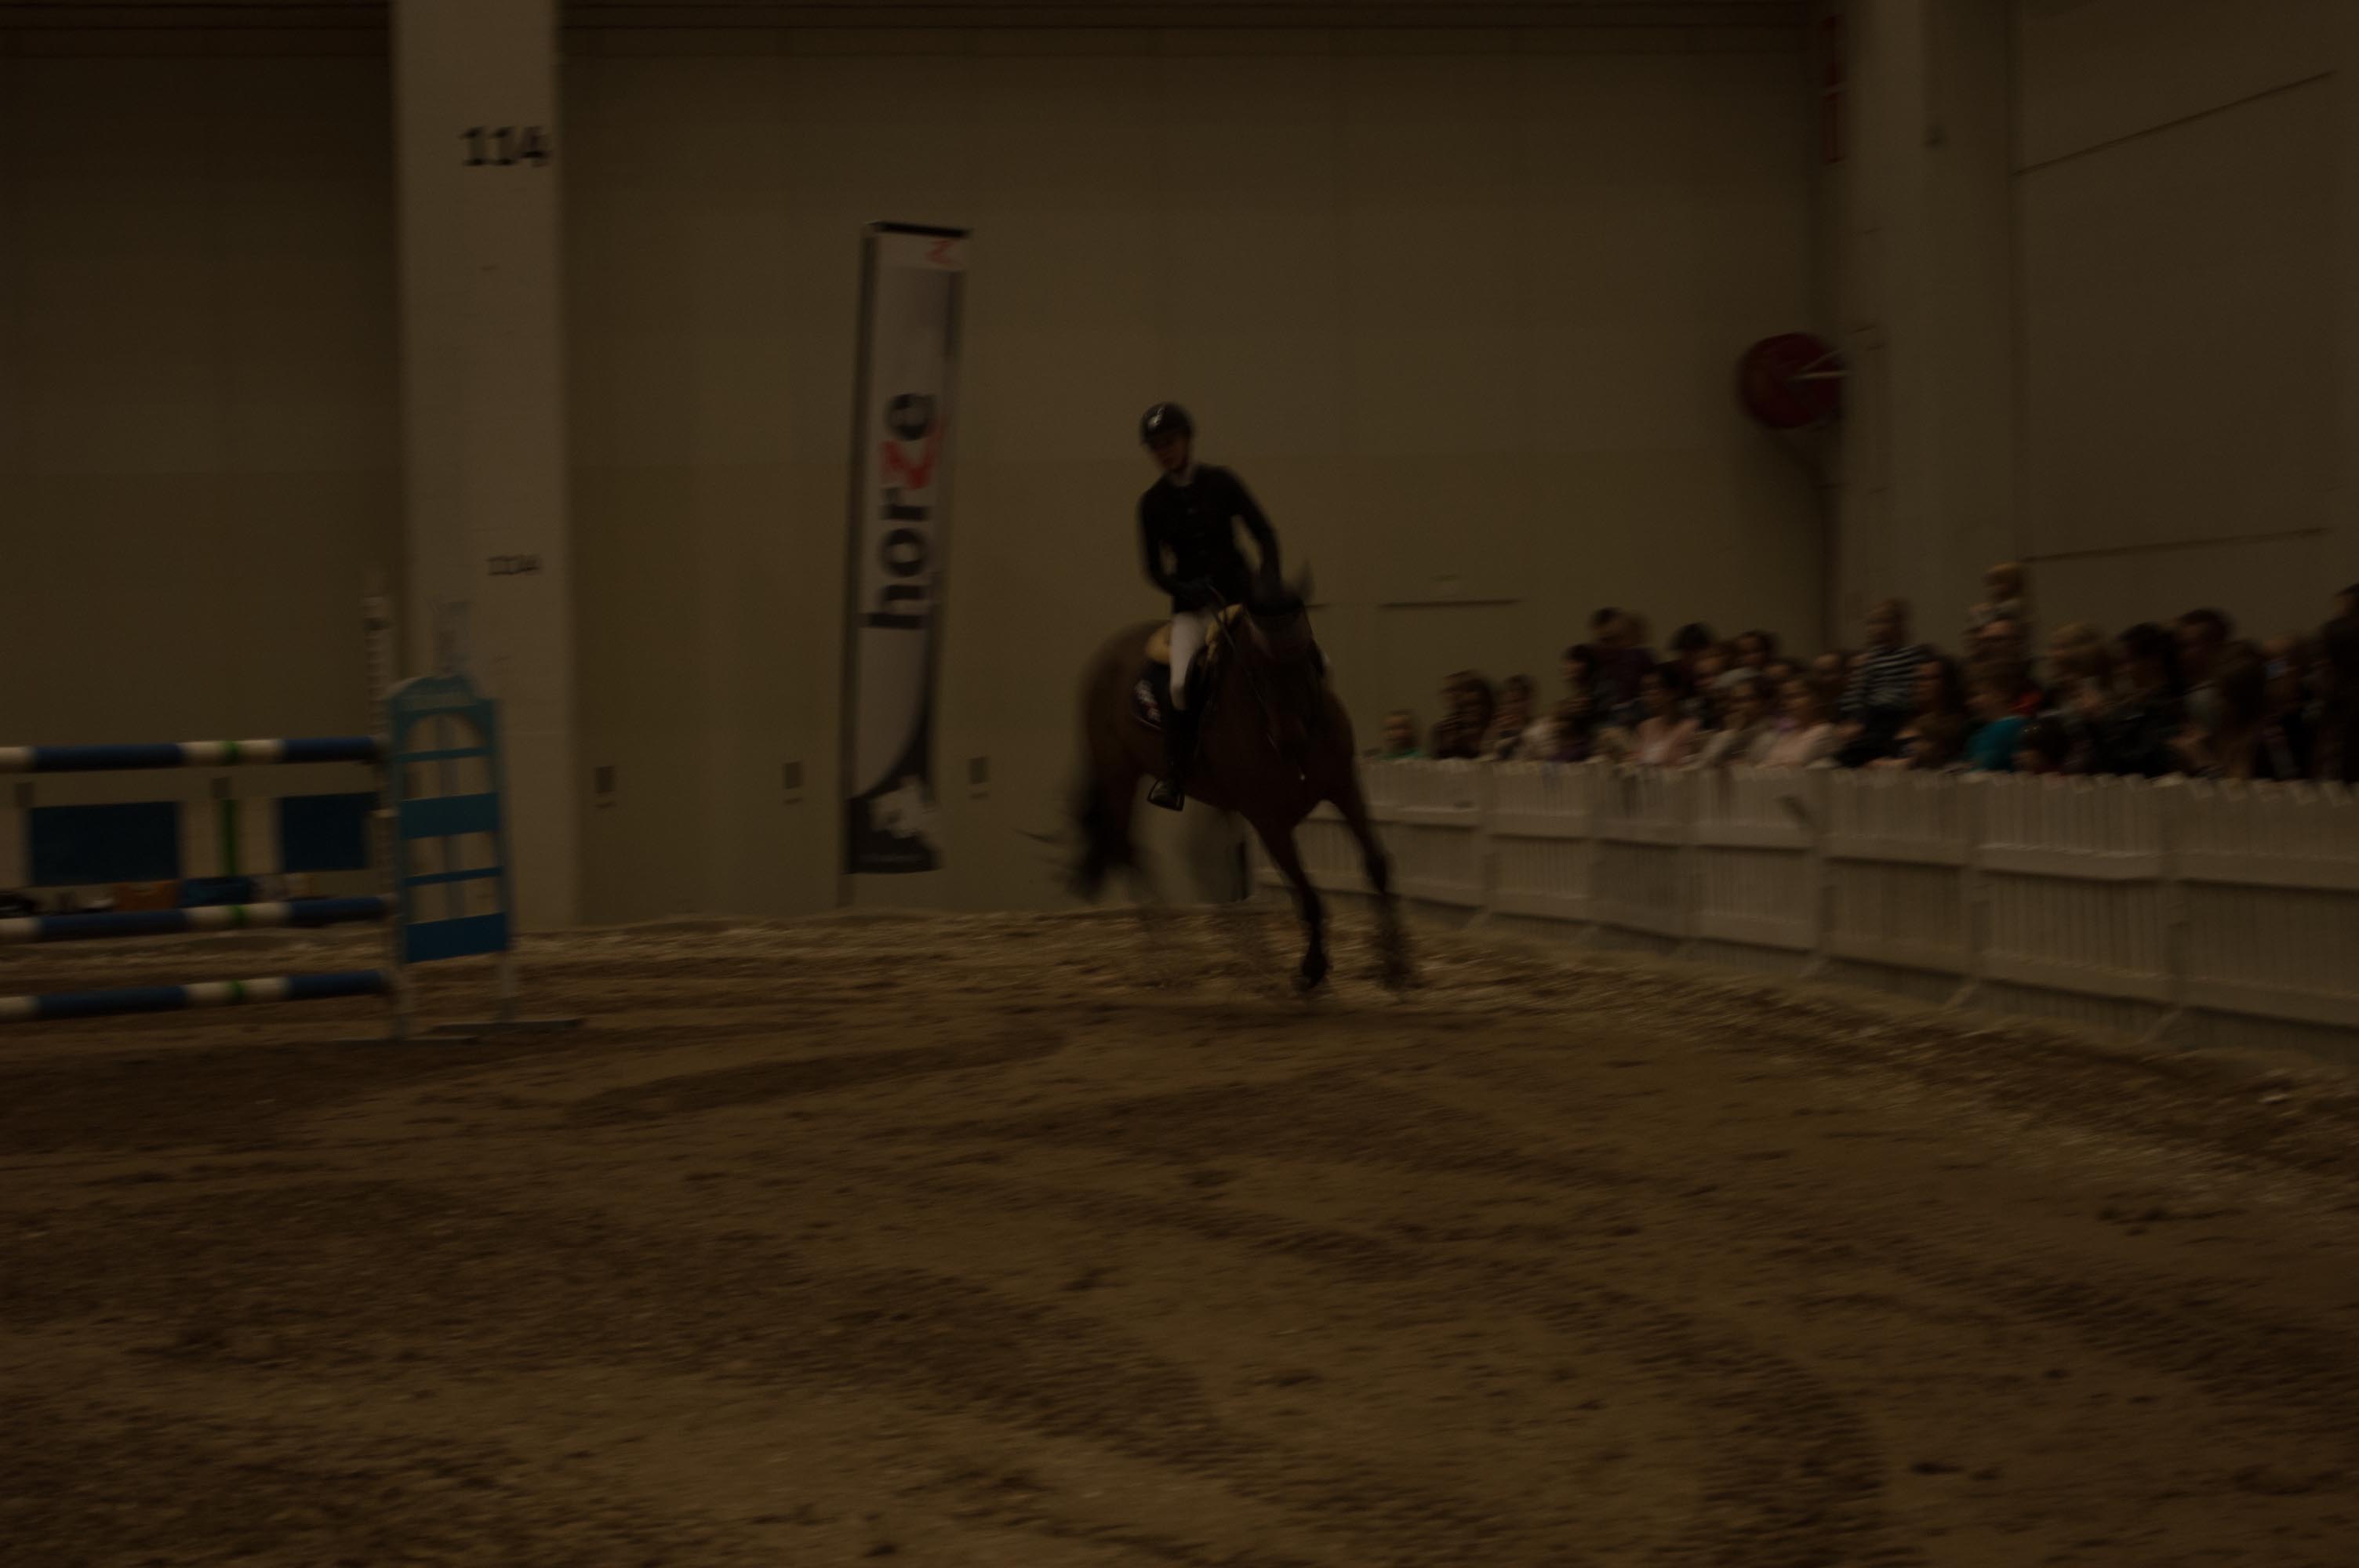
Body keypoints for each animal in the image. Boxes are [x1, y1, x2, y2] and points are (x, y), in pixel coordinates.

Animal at [1071, 572, 1411, 992]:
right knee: (1126, 847)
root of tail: (1106, 655)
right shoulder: (1267, 819)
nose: (1289, 742)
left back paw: (1251, 955)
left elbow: (1377, 864)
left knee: (1193, 852)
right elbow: (1308, 894)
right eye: (1254, 670)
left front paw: (1397, 963)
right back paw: (1170, 957)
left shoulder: (1344, 788)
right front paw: (1313, 967)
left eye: (1306, 654)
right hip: (1119, 772)